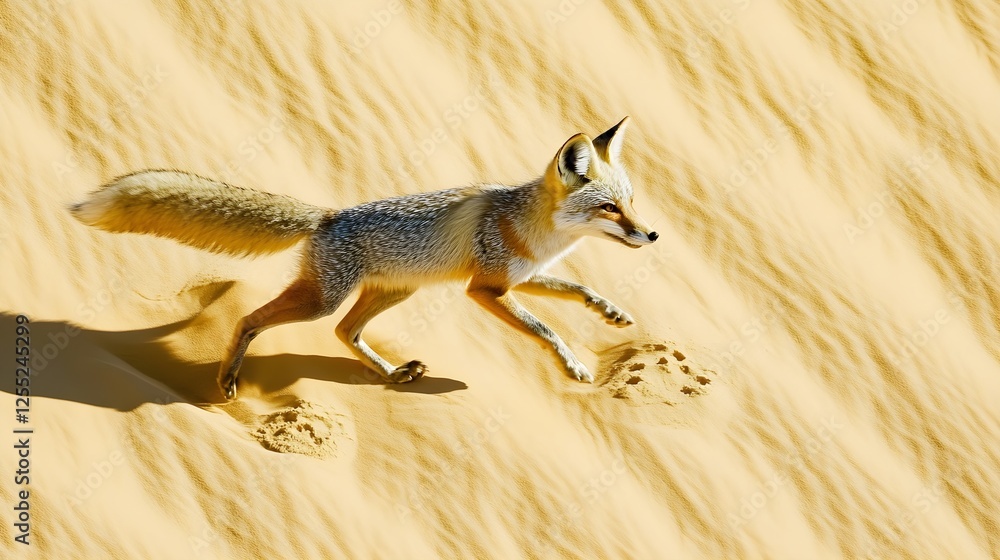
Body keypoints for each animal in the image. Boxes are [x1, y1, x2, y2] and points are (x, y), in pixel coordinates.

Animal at [70, 117, 658, 400]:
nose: (651, 234)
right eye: (609, 207)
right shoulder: (486, 290)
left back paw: (394, 374)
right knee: (251, 318)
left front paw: (611, 313)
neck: (536, 232)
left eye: (630, 200)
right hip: (324, 299)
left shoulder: (519, 278)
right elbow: (547, 330)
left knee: (344, 334)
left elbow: (578, 290)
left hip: (394, 292)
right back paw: (228, 378)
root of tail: (327, 215)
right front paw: (573, 365)